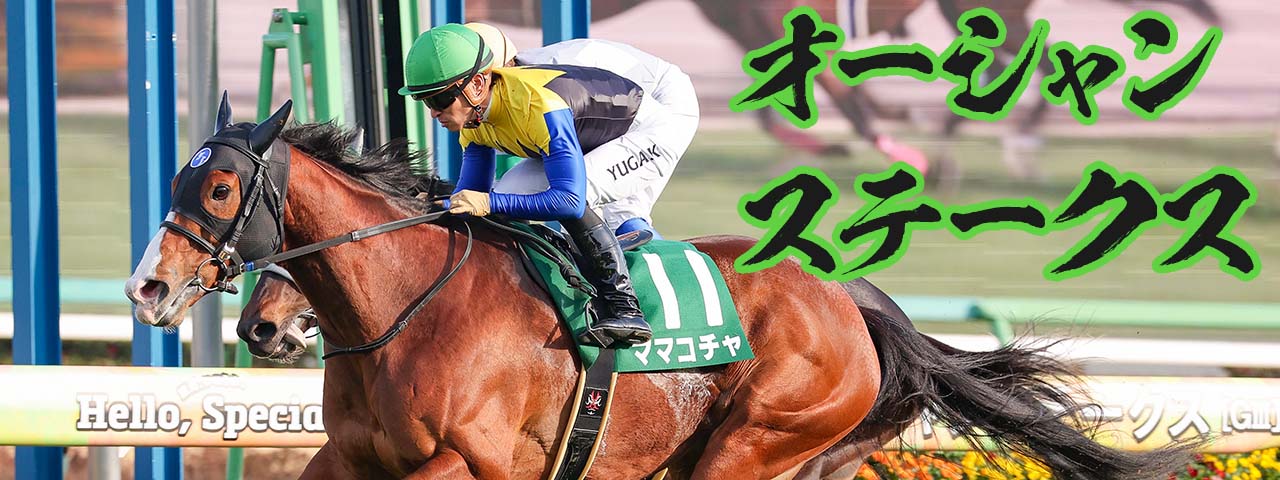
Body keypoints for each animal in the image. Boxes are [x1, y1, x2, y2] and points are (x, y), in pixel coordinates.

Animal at [126, 97, 1194, 479]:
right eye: (176, 179)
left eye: (218, 189)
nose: (146, 289)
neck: (404, 309)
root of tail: (856, 305)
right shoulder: (351, 461)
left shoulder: (478, 465)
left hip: (758, 440)